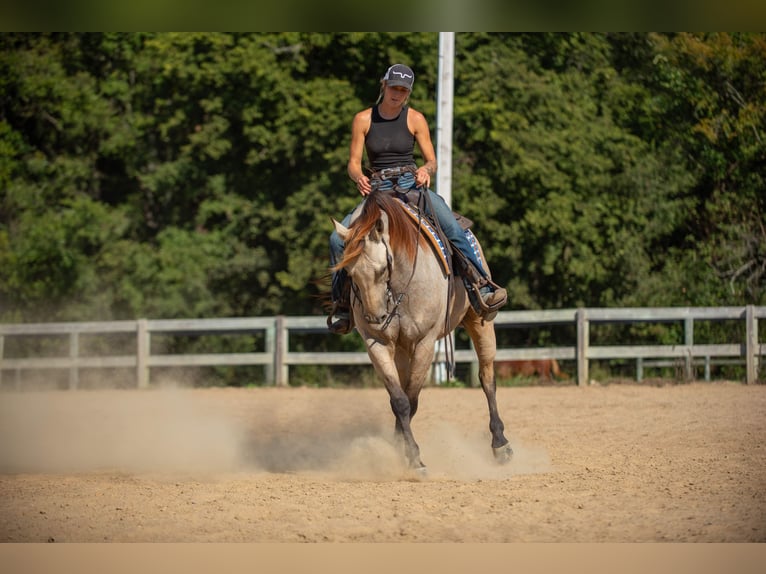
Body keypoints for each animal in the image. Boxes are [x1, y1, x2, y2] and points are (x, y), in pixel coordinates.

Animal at [332, 188, 512, 472]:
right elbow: (399, 400)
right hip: (401, 350)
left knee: (487, 379)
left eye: (382, 269)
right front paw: (406, 454)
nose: (375, 318)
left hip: (480, 321)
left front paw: (412, 456)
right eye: (348, 272)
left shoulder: (425, 342)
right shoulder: (377, 343)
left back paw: (500, 444)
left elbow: (413, 399)